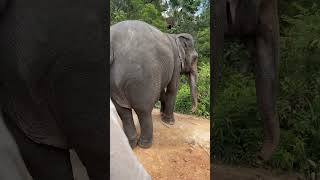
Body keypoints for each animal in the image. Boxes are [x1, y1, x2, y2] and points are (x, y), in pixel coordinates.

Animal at [110, 20, 198, 148]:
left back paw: (131, 144)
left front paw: (162, 115)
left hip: (116, 82)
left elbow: (162, 91)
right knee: (143, 110)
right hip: (141, 77)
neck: (175, 36)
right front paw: (170, 122)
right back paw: (145, 145)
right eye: (195, 58)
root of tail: (112, 41)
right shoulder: (176, 62)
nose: (192, 110)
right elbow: (172, 88)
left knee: (123, 111)